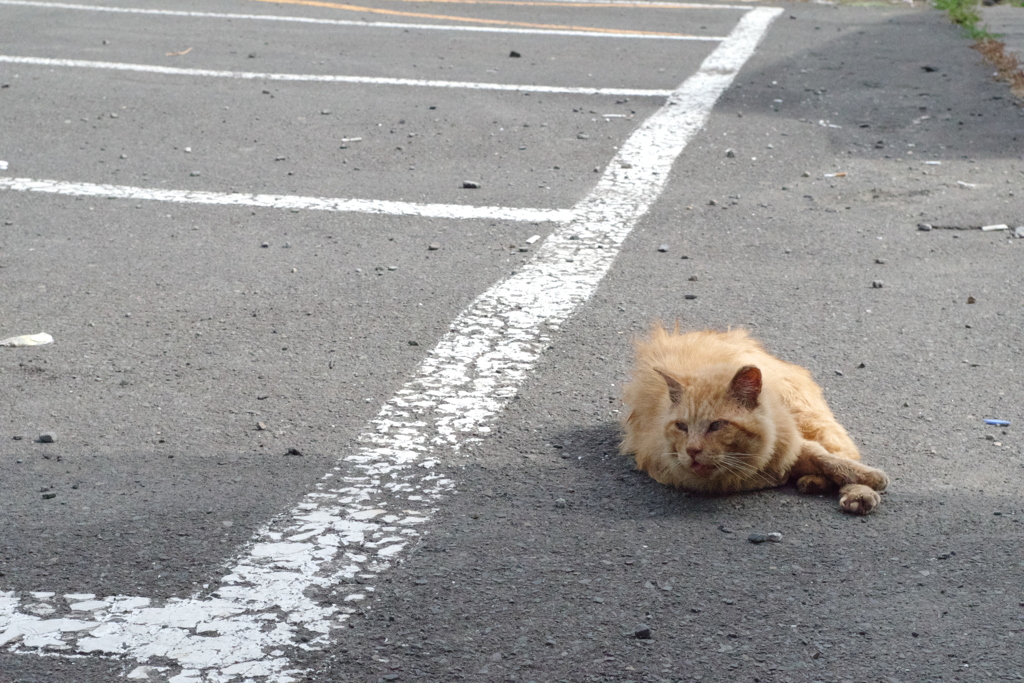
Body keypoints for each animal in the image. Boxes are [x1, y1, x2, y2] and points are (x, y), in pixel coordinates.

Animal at [618, 325, 892, 511]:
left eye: (717, 425)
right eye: (681, 426)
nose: (692, 450)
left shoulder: (789, 438)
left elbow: (823, 456)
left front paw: (866, 478)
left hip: (808, 415)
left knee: (840, 450)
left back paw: (855, 492)